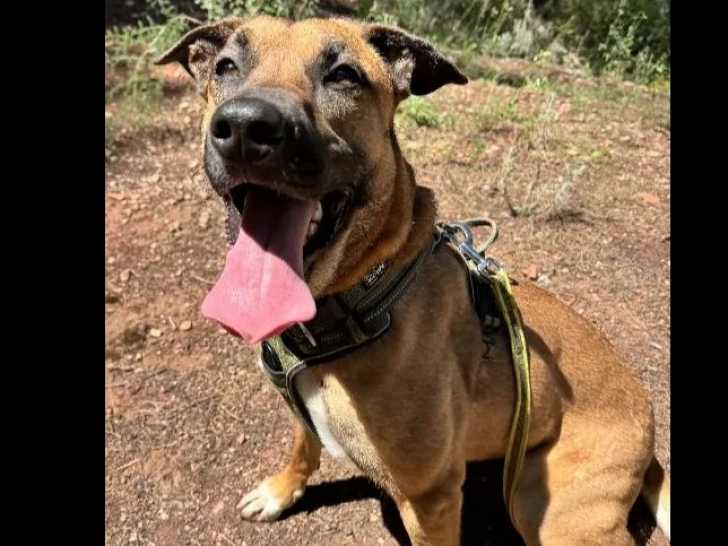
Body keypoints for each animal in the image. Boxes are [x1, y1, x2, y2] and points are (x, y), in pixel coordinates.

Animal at [156, 15, 670, 545]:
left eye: (343, 75)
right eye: (226, 66)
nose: (245, 125)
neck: (361, 300)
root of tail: (651, 433)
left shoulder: (430, 498)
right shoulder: (301, 409)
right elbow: (303, 443)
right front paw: (282, 489)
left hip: (545, 506)